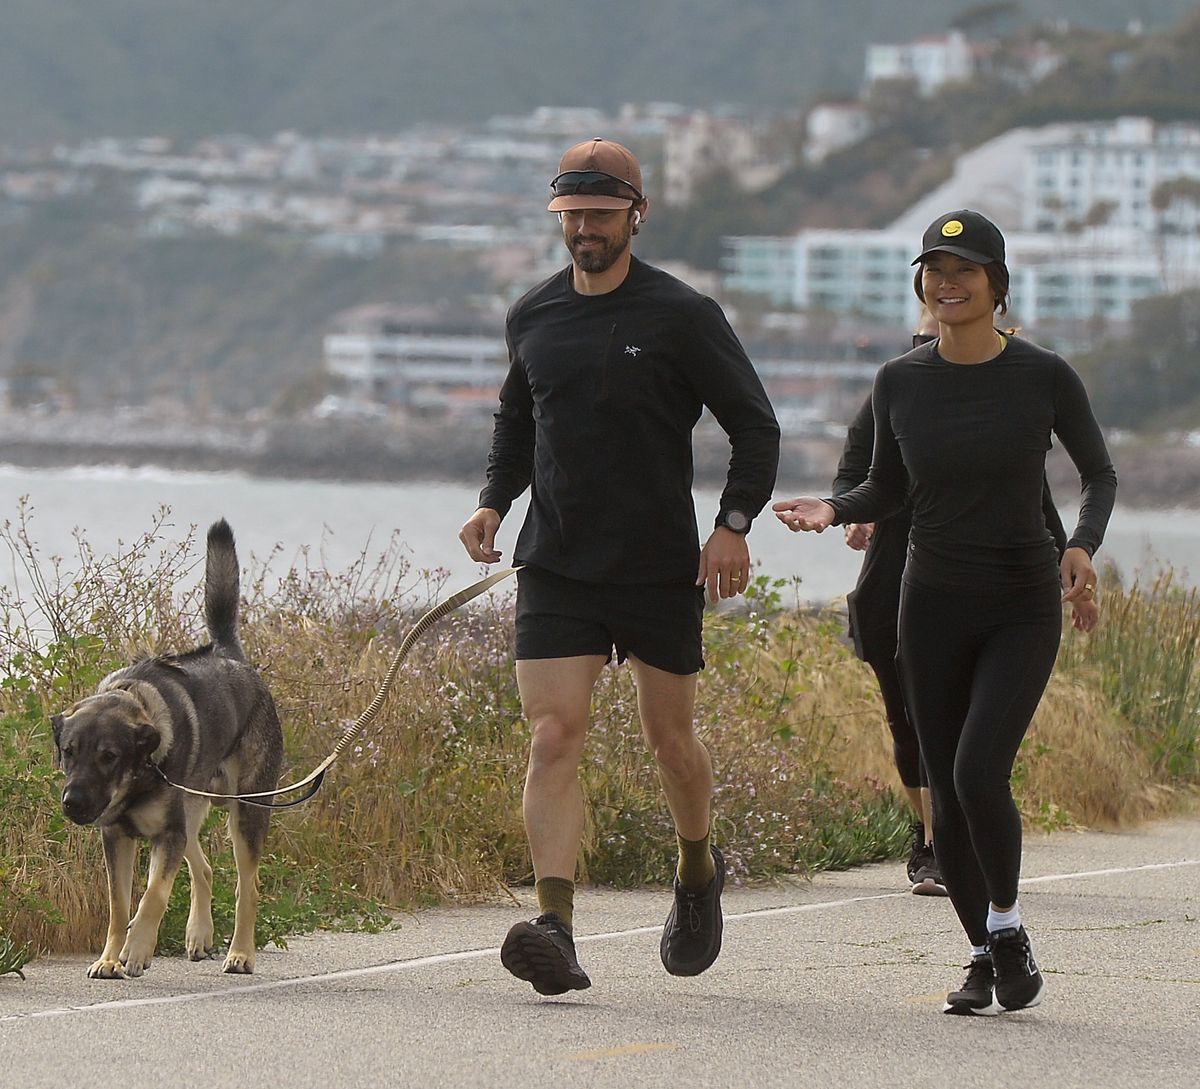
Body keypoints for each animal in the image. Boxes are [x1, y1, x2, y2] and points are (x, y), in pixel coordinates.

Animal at [54, 518, 285, 978]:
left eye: (109, 757)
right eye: (69, 751)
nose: (72, 803)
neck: (139, 776)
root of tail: (233, 658)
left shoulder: (167, 835)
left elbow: (153, 895)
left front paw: (138, 949)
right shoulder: (117, 837)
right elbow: (119, 905)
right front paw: (109, 958)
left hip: (244, 812)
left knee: (247, 886)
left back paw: (241, 953)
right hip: (192, 812)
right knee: (205, 868)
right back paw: (199, 934)